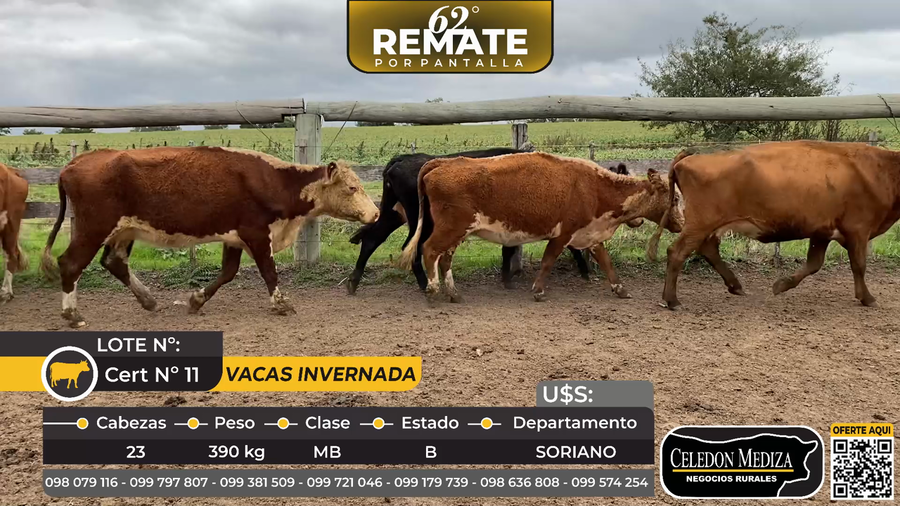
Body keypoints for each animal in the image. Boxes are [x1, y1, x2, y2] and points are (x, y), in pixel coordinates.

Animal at [40, 147, 379, 328]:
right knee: (70, 264)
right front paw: (282, 304)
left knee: (114, 262)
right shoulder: (257, 234)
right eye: (352, 187)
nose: (375, 213)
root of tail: (76, 163)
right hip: (93, 228)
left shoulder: (234, 238)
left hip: (124, 230)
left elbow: (228, 272)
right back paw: (72, 315)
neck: (275, 181)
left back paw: (148, 300)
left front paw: (196, 300)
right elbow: (269, 272)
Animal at [346, 148, 594, 295]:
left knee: (372, 240)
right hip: (420, 220)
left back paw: (353, 283)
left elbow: (509, 249)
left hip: (393, 213)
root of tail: (401, 159)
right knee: (413, 247)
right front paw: (584, 271)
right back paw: (425, 284)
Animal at [398, 152, 684, 303]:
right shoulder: (563, 234)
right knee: (429, 250)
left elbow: (606, 263)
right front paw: (538, 290)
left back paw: (454, 293)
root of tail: (443, 162)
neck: (593, 187)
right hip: (451, 228)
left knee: (445, 258)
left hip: (459, 232)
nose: (682, 224)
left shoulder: (590, 235)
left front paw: (620, 289)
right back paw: (432, 291)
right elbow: (548, 261)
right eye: (675, 199)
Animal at [651, 140, 900, 309]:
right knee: (677, 252)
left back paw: (735, 285)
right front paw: (867, 297)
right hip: (700, 223)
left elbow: (814, 264)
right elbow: (859, 265)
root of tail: (690, 157)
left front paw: (781, 284)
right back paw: (672, 300)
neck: (880, 170)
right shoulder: (858, 230)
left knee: (708, 249)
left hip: (707, 226)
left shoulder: (822, 232)